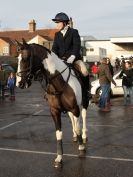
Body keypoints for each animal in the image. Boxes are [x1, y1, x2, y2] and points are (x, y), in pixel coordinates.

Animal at [15, 38, 89, 167]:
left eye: (25, 58)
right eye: (17, 59)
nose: (19, 83)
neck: (59, 83)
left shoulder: (75, 108)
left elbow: (78, 127)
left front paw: (81, 148)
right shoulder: (55, 111)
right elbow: (59, 134)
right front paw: (59, 158)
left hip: (83, 103)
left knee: (83, 117)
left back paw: (83, 136)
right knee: (73, 119)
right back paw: (75, 136)